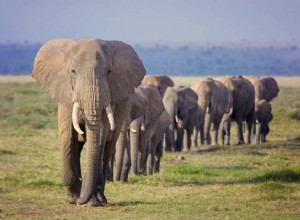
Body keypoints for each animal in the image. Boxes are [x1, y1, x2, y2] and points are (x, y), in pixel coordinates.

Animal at [31, 39, 145, 206]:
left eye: (109, 71)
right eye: (72, 71)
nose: (79, 200)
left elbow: (100, 137)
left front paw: (89, 201)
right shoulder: (65, 93)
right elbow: (67, 137)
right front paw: (73, 198)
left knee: (107, 149)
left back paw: (100, 198)